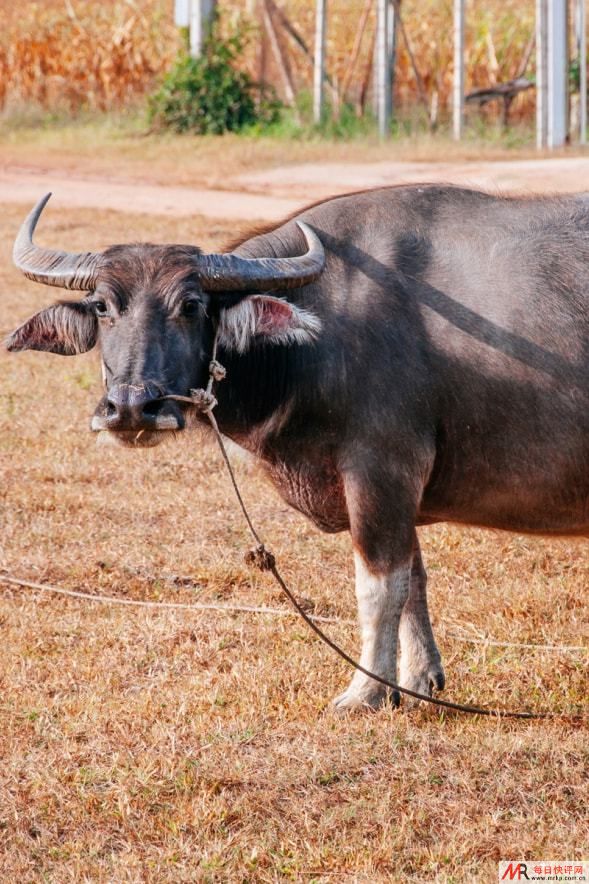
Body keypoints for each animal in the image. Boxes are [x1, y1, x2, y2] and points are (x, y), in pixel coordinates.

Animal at [8, 188, 588, 712]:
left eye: (191, 306)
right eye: (102, 306)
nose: (131, 408)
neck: (316, 340)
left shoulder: (381, 470)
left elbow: (380, 589)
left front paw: (364, 693)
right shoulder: (397, 493)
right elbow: (414, 581)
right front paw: (416, 682)